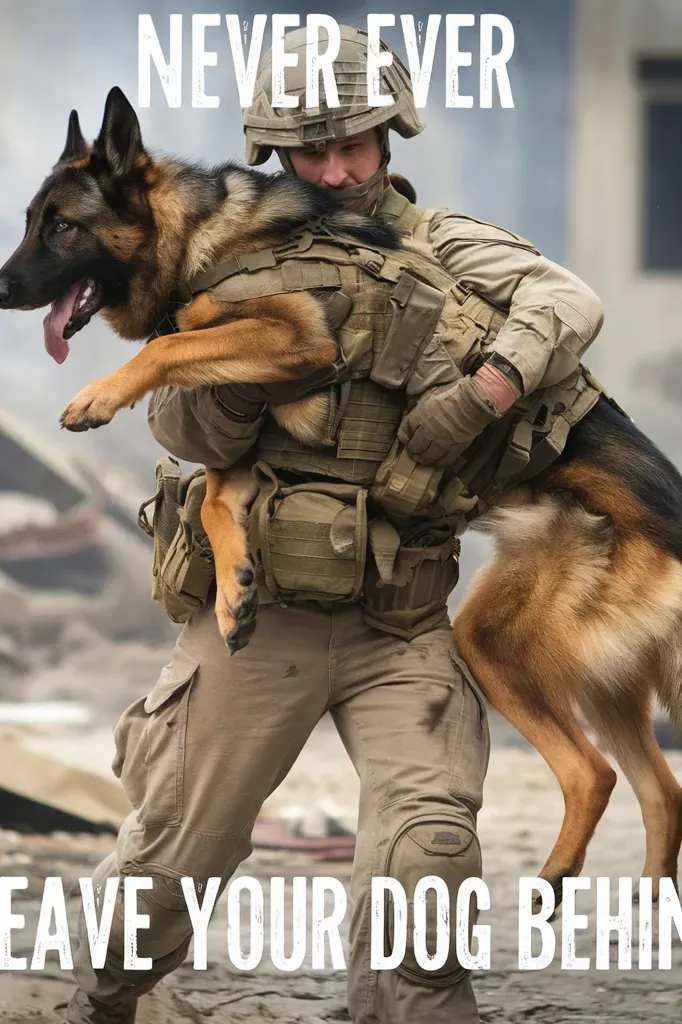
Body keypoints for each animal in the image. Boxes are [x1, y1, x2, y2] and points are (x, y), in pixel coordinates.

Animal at [1, 88, 679, 905]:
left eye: (62, 225)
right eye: (31, 220)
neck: (199, 237)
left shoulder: (295, 337)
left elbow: (168, 347)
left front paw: (98, 396)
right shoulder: (249, 423)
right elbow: (216, 497)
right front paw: (235, 591)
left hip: (499, 646)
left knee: (594, 773)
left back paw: (553, 878)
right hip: (595, 676)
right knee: (660, 789)